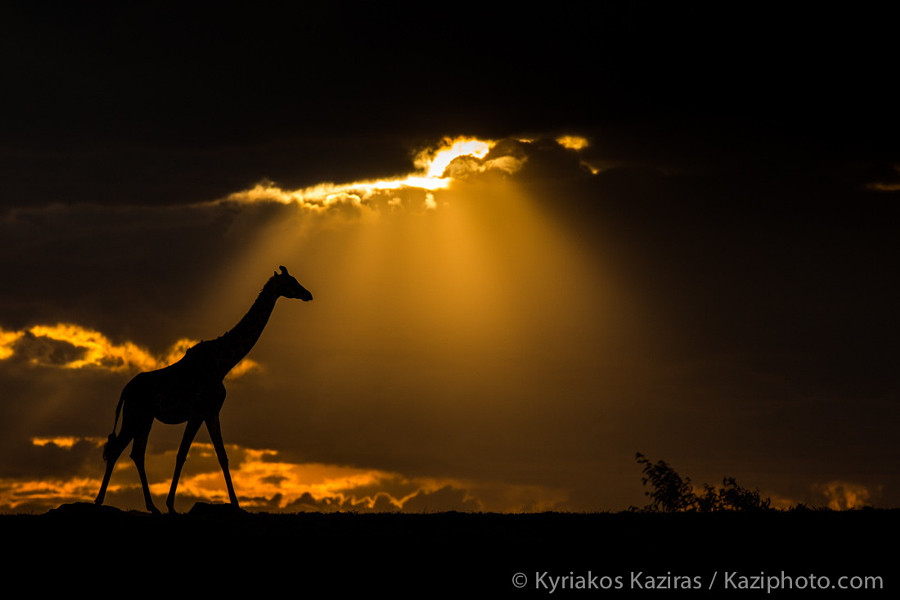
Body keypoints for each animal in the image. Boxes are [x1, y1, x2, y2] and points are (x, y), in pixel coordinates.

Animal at [95, 264, 312, 512]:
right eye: (291, 282)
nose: (308, 294)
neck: (222, 364)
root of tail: (124, 391)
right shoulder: (199, 411)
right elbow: (182, 454)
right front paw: (171, 505)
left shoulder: (211, 411)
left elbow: (222, 456)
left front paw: (236, 504)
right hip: (135, 414)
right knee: (116, 449)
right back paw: (101, 500)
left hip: (146, 417)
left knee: (136, 453)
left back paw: (152, 506)